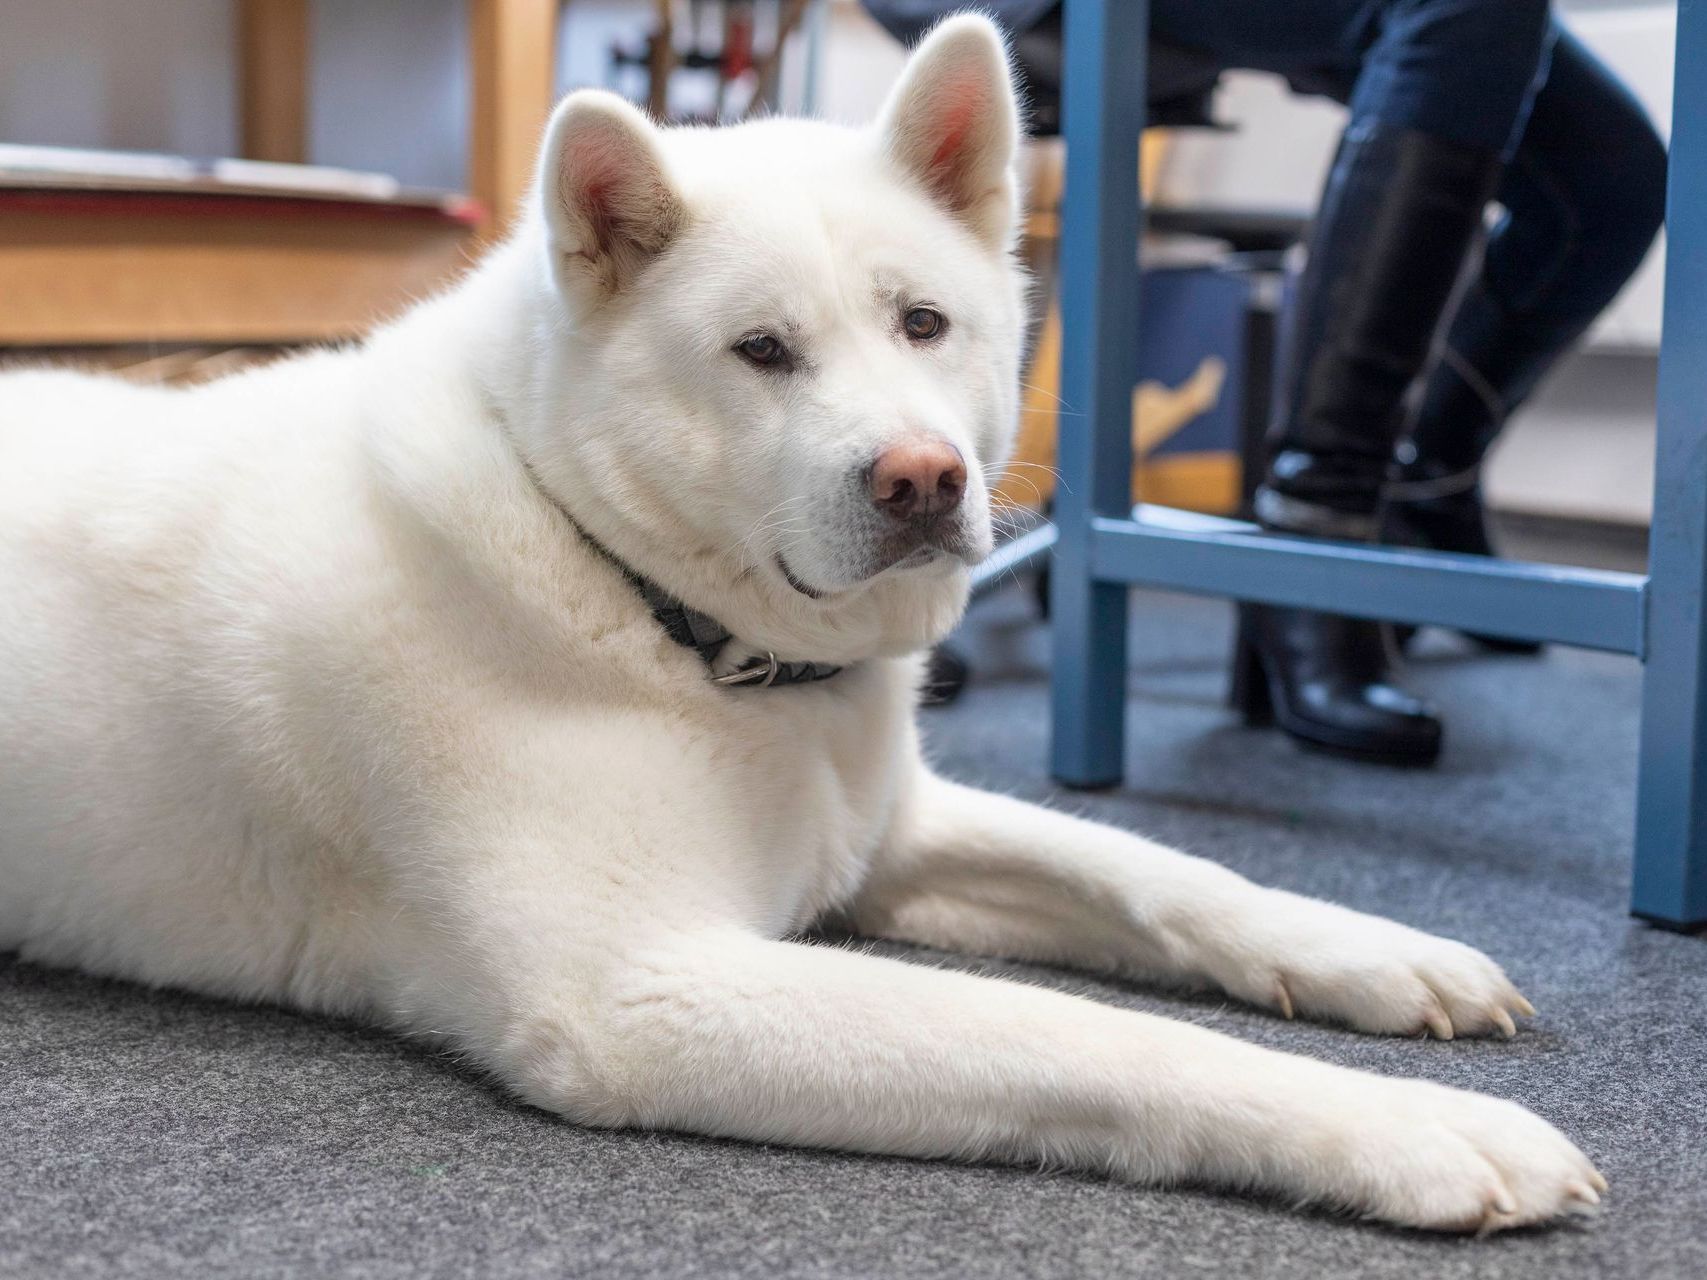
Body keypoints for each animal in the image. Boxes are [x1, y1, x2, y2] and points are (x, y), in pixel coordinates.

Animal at [0, 12, 1597, 1235]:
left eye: (922, 324)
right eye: (760, 351)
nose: (924, 480)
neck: (650, 612)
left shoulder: (885, 836)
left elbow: (1158, 870)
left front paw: (1375, 954)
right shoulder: (642, 991)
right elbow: (1077, 1031)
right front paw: (1407, 1129)